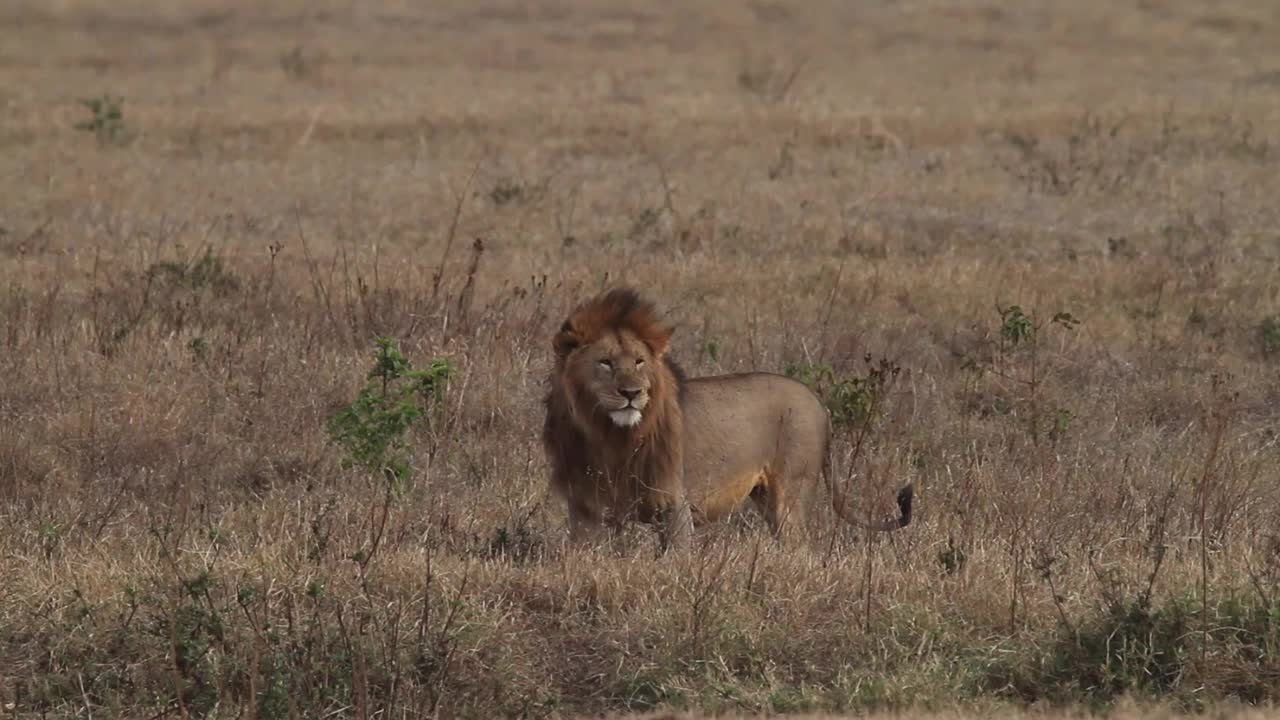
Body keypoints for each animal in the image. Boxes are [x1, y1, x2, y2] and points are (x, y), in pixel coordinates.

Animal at [540, 285, 911, 548]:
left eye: (639, 362)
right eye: (605, 363)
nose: (632, 393)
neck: (607, 435)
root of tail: (819, 403)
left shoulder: (676, 507)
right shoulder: (585, 509)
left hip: (789, 492)